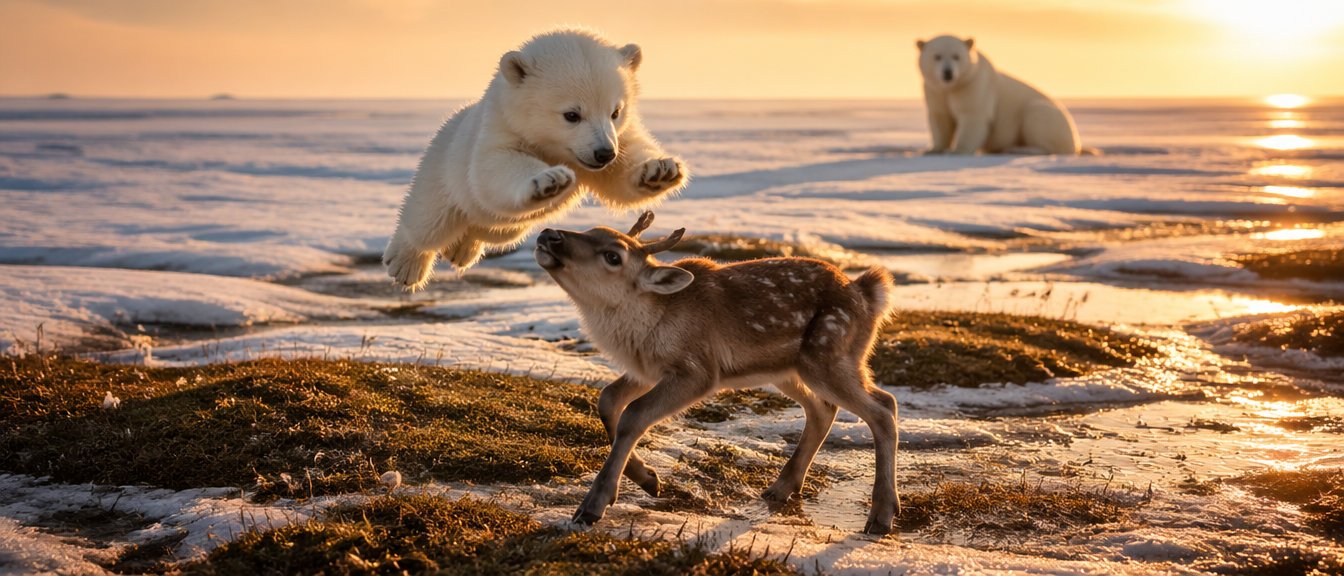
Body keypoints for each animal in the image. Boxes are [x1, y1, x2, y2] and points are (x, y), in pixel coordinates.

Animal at [383, 29, 689, 290]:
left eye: (615, 111)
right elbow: (492, 168)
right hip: (443, 166)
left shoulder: (612, 143)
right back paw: (405, 264)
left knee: (493, 230)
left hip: (503, 225)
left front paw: (660, 171)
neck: (553, 147)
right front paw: (550, 180)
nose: (604, 153)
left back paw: (462, 249)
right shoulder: (501, 129)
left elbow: (621, 171)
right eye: (572, 114)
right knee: (429, 219)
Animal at [534, 212, 901, 534]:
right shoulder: (648, 369)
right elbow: (608, 399)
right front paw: (649, 479)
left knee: (884, 406)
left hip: (829, 355)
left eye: (613, 255)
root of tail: (869, 294)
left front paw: (592, 506)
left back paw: (881, 515)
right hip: (789, 369)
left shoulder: (698, 370)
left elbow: (634, 415)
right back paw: (781, 488)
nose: (548, 234)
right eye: (592, 229)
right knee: (823, 408)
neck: (641, 326)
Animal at [916, 35, 1091, 156]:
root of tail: (1076, 143)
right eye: (937, 56)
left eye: (956, 56)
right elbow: (940, 118)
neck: (952, 87)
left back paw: (1020, 149)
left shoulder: (974, 86)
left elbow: (973, 115)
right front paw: (932, 150)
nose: (948, 72)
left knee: (1036, 115)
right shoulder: (934, 91)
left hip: (1050, 117)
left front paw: (958, 150)